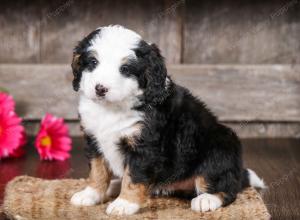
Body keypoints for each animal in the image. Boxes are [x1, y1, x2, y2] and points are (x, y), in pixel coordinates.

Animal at [69, 25, 264, 215]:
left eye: (125, 69)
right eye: (93, 62)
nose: (100, 89)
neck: (111, 109)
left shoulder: (145, 147)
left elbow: (133, 177)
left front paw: (124, 204)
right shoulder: (94, 139)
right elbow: (97, 170)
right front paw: (91, 194)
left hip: (218, 149)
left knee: (226, 188)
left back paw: (207, 199)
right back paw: (116, 185)